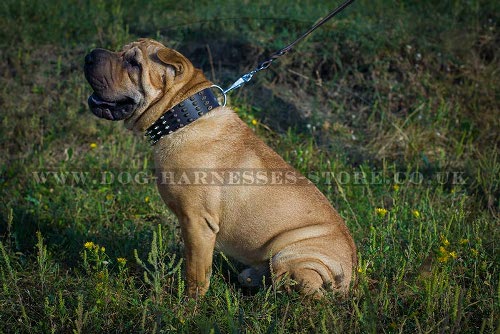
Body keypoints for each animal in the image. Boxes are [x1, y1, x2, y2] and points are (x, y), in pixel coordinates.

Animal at [83, 38, 356, 298]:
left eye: (134, 63)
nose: (91, 54)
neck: (181, 117)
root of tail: (349, 275)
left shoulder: (197, 222)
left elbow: (196, 271)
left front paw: (190, 303)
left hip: (291, 257)